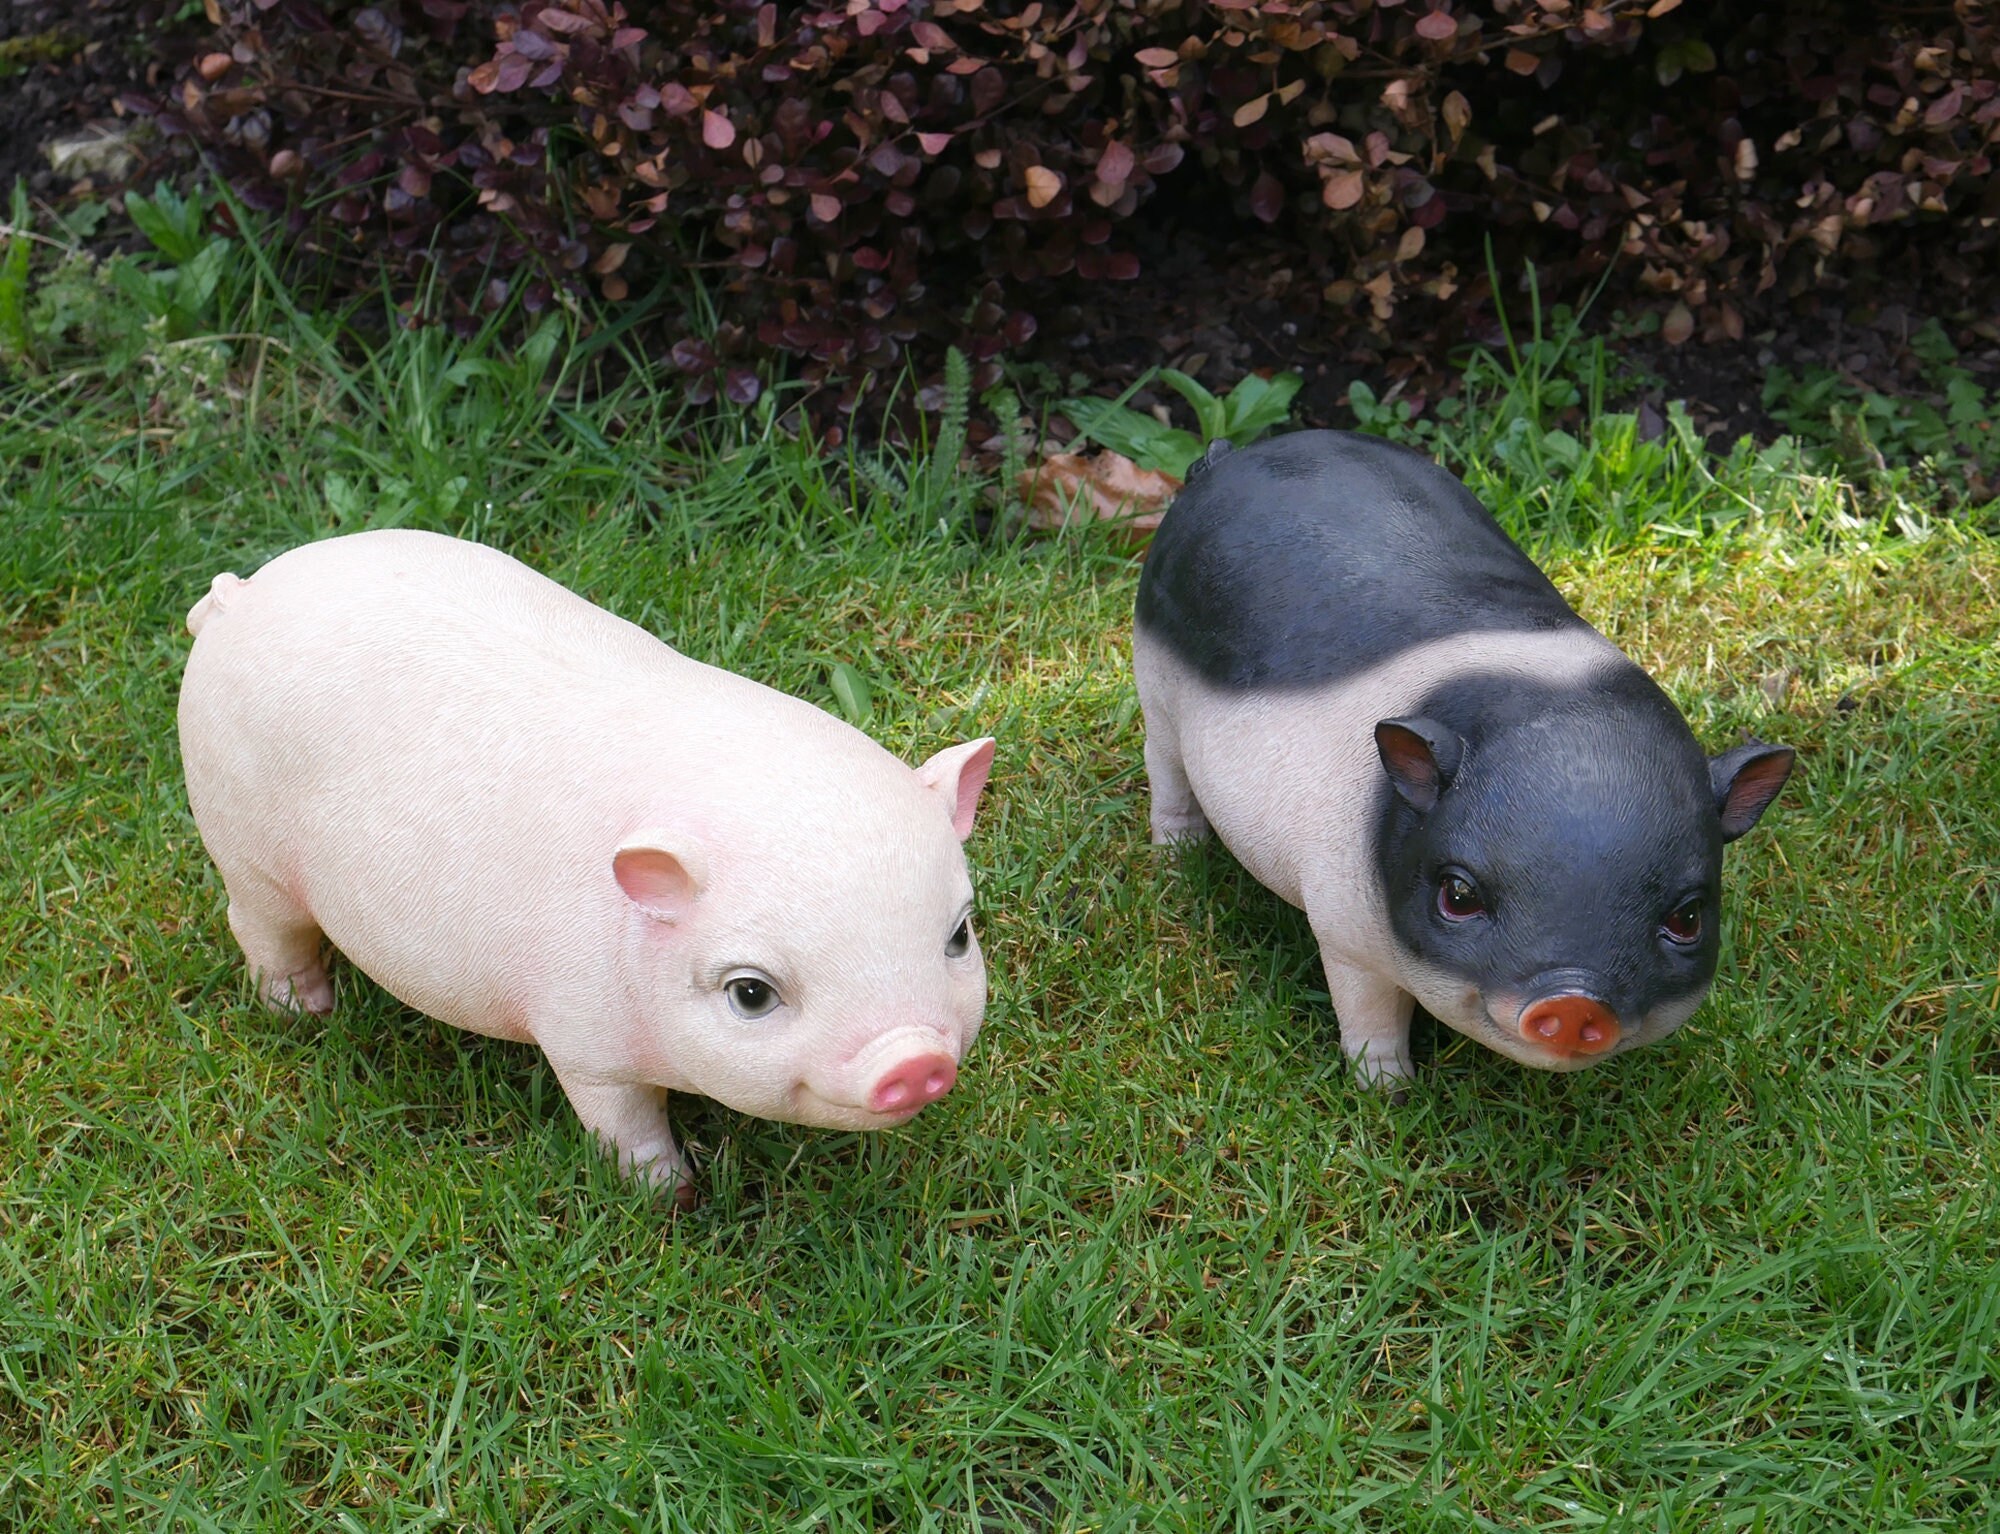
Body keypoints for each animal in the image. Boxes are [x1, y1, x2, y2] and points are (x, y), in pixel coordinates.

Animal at [179, 529, 995, 1206]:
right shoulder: (583, 1038)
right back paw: (305, 1014)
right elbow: (620, 1120)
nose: (914, 1060)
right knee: (259, 924)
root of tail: (236, 597)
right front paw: (671, 1198)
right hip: (240, 837)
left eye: (958, 936)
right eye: (751, 993)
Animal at [1133, 430, 1793, 1086]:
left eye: (1688, 919)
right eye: (1458, 896)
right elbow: (1368, 1012)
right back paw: (1177, 862)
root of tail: (1227, 458)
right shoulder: (1341, 924)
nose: (1576, 1003)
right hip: (1154, 685)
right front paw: (1387, 1092)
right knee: (1164, 768)